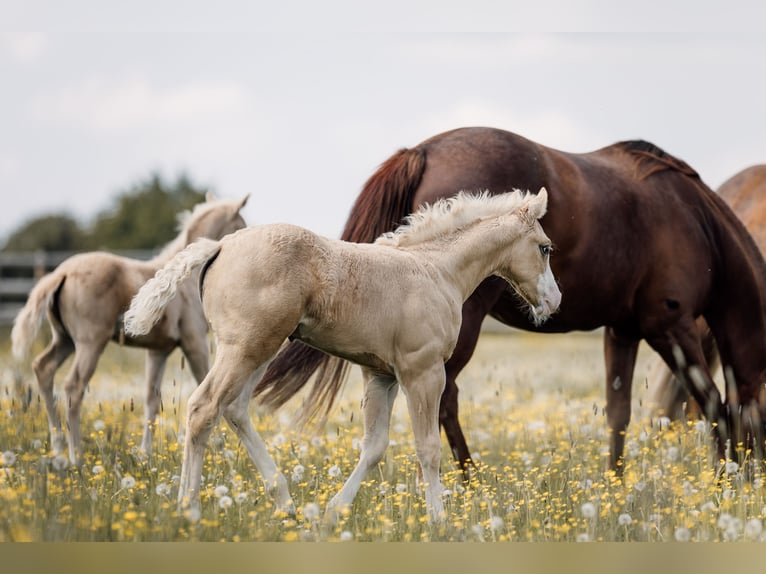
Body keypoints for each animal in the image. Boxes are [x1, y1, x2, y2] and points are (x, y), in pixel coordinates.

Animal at [10, 193, 249, 464]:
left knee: (44, 369)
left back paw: (59, 450)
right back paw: (76, 457)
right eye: (240, 224)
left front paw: (146, 453)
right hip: (90, 343)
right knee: (73, 386)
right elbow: (205, 387)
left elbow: (152, 398)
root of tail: (61, 273)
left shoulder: (158, 351)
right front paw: (219, 445)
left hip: (64, 340)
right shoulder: (194, 342)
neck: (187, 276)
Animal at [123, 189, 560, 521]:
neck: (436, 270)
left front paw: (335, 510)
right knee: (204, 408)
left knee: (234, 408)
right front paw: (438, 519)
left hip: (259, 349)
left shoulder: (381, 374)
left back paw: (284, 501)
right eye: (544, 248)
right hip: (245, 348)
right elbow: (428, 448)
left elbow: (375, 446)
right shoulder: (423, 372)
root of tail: (220, 244)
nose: (554, 302)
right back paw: (190, 510)